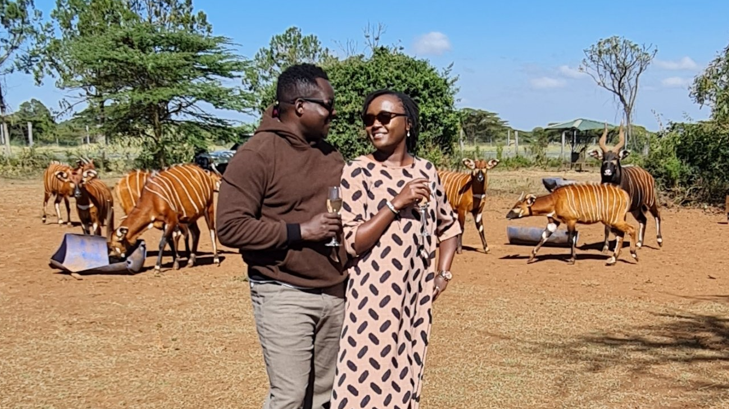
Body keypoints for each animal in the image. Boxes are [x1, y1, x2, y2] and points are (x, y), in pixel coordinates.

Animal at [506, 183, 636, 266]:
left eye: (518, 206)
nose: (507, 216)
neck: (555, 200)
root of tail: (625, 194)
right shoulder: (553, 222)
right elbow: (543, 237)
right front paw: (530, 258)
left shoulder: (571, 221)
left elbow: (571, 239)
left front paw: (572, 259)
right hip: (610, 221)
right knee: (620, 235)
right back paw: (612, 260)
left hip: (614, 220)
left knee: (631, 229)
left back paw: (634, 255)